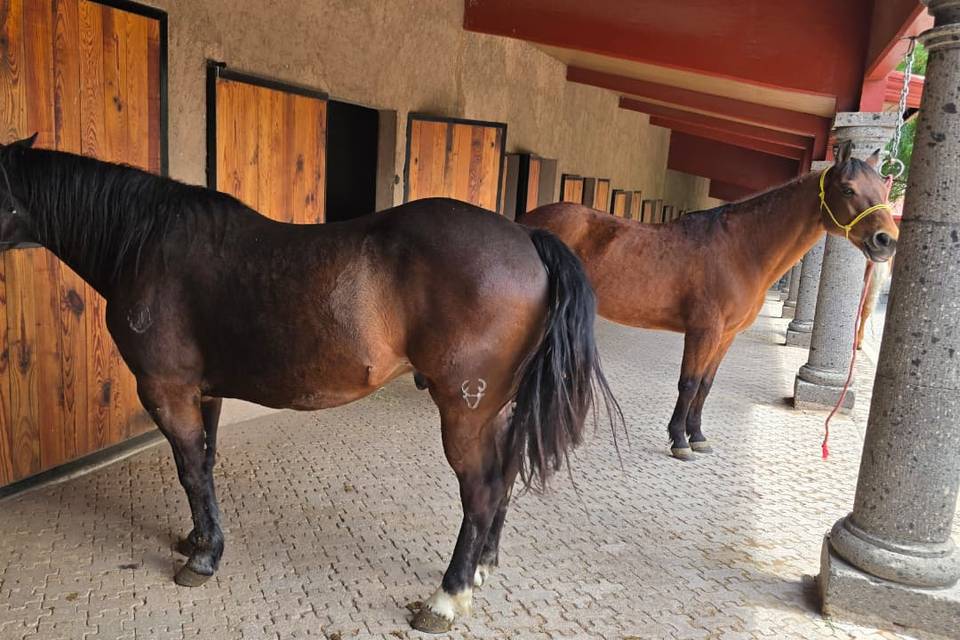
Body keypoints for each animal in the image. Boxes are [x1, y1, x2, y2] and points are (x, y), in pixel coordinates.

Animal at [0, 135, 620, 634]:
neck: (149, 246)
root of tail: (527, 238)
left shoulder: (165, 389)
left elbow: (191, 469)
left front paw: (203, 560)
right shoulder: (204, 392)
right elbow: (203, 464)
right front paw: (199, 539)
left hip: (465, 409)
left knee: (483, 490)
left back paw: (446, 598)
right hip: (498, 407)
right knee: (506, 476)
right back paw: (484, 566)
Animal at [522, 141, 898, 460]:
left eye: (884, 190)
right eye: (848, 189)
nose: (887, 241)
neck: (741, 250)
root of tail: (530, 220)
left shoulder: (726, 335)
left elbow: (705, 384)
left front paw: (698, 436)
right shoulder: (704, 330)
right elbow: (688, 384)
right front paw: (679, 441)